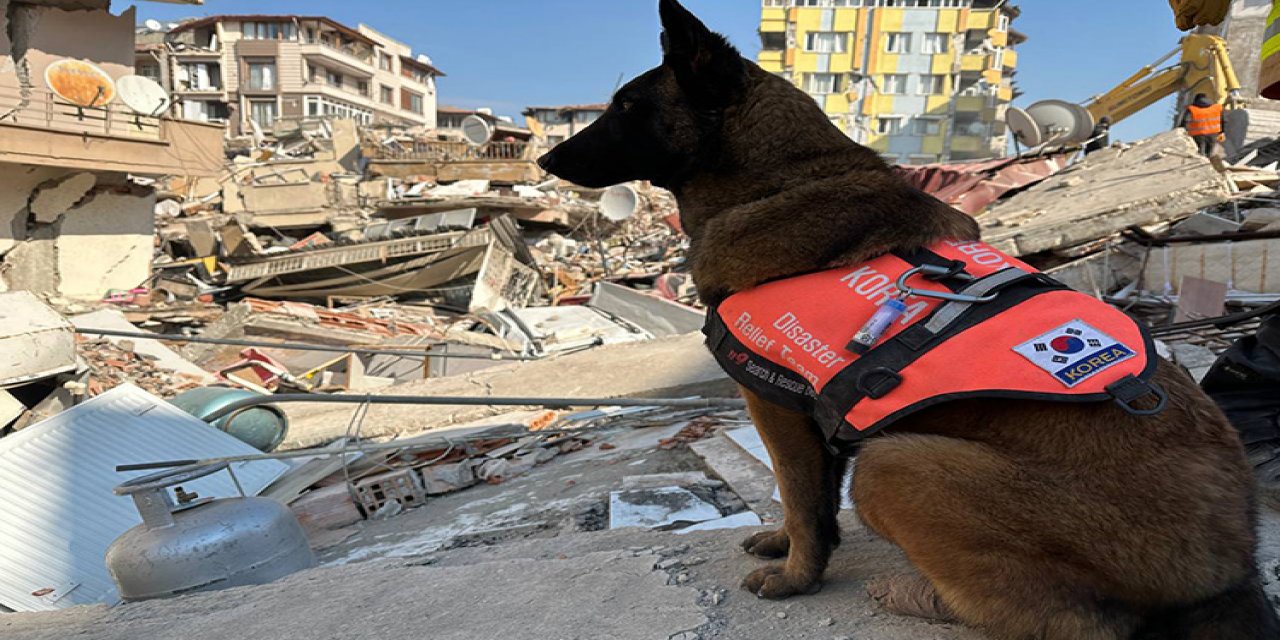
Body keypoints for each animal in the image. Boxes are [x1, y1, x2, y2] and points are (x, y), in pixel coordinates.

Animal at [540, 2, 1280, 637]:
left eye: (627, 107)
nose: (545, 159)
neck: (784, 177)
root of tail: (1235, 568)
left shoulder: (775, 404)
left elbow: (801, 500)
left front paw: (797, 575)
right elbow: (806, 502)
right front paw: (784, 543)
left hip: (894, 464)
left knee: (1077, 623)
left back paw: (920, 596)